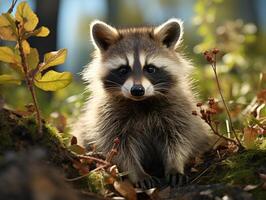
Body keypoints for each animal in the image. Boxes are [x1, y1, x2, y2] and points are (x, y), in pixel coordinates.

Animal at [72, 18, 210, 188]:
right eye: (123, 69)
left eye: (150, 68)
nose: (137, 90)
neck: (142, 102)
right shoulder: (107, 115)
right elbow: (118, 148)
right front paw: (136, 172)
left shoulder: (178, 108)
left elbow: (179, 138)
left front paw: (175, 165)